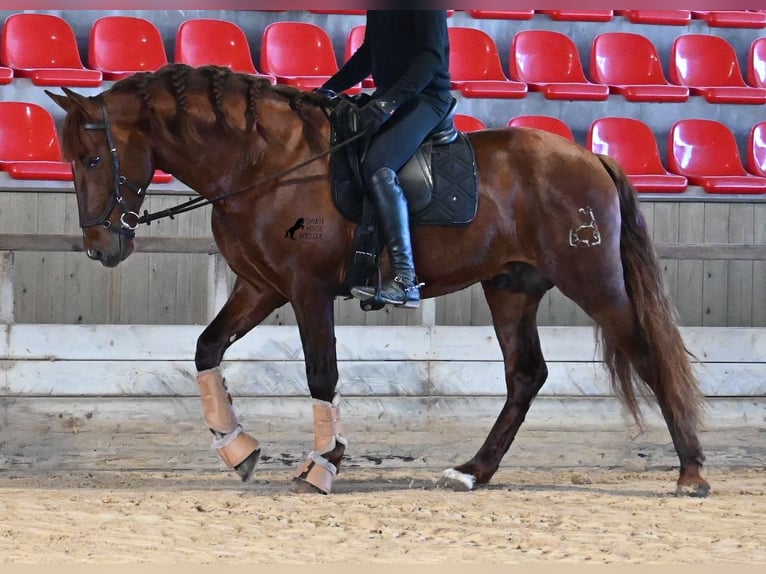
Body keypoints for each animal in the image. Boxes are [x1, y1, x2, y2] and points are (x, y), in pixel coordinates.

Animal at [46, 63, 708, 496]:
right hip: (511, 287)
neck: (266, 163)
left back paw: (692, 472)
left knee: (648, 357)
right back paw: (474, 471)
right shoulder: (260, 288)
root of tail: (588, 155)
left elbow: (322, 374)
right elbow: (207, 348)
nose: (102, 247)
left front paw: (323, 465)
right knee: (526, 375)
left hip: (593, 282)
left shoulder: (307, 290)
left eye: (95, 158)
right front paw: (240, 451)